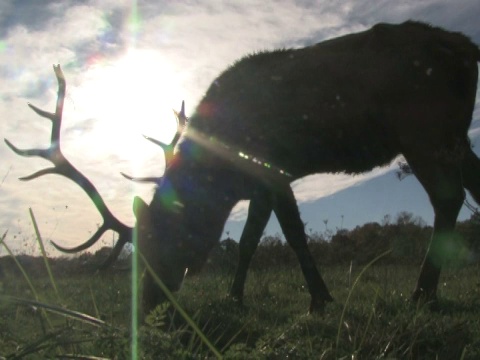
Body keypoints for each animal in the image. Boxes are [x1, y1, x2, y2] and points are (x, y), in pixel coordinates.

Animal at [4, 21, 480, 316]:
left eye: (163, 243)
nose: (150, 304)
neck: (223, 173)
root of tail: (469, 48)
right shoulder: (259, 185)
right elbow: (249, 240)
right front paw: (235, 297)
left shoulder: (274, 168)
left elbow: (292, 235)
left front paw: (319, 300)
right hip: (453, 133)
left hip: (423, 127)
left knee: (449, 198)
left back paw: (422, 294)